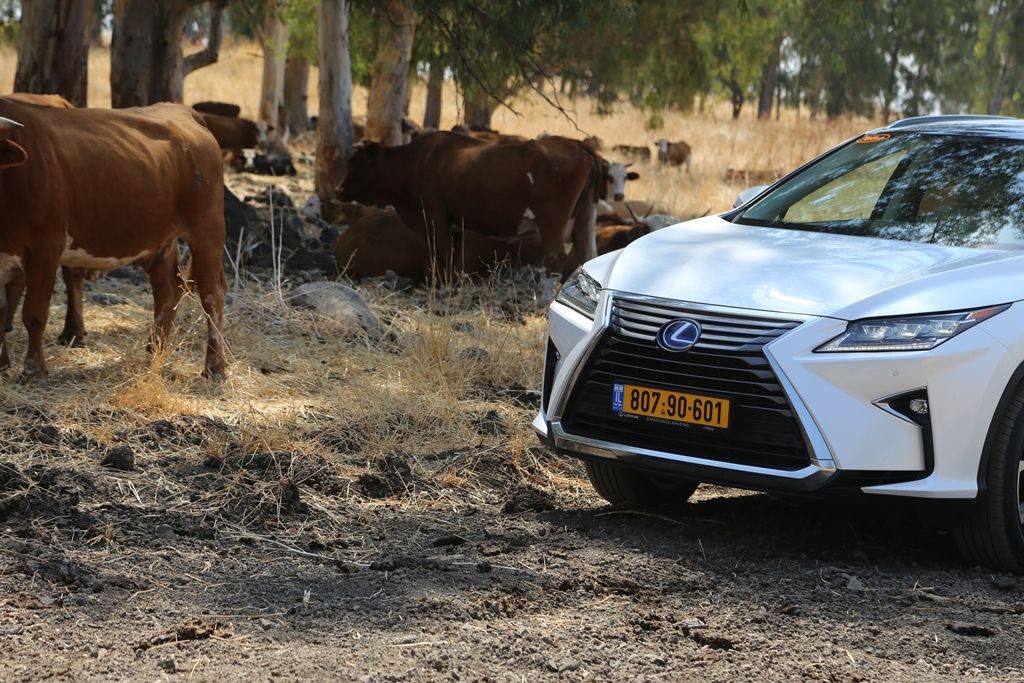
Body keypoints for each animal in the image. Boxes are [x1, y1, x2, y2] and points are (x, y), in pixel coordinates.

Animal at [0, 99, 226, 382]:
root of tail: (183, 110)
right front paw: (1, 364)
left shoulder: (45, 247)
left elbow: (34, 314)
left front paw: (34, 371)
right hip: (160, 238)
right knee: (168, 290)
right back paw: (153, 352)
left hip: (207, 231)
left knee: (211, 295)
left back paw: (214, 367)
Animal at [339, 131, 602, 274]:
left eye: (354, 164)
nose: (338, 190)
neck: (414, 163)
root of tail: (577, 144)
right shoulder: (455, 227)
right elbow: (454, 261)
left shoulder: (434, 220)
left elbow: (444, 257)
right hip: (584, 218)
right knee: (586, 256)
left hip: (552, 223)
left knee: (555, 260)